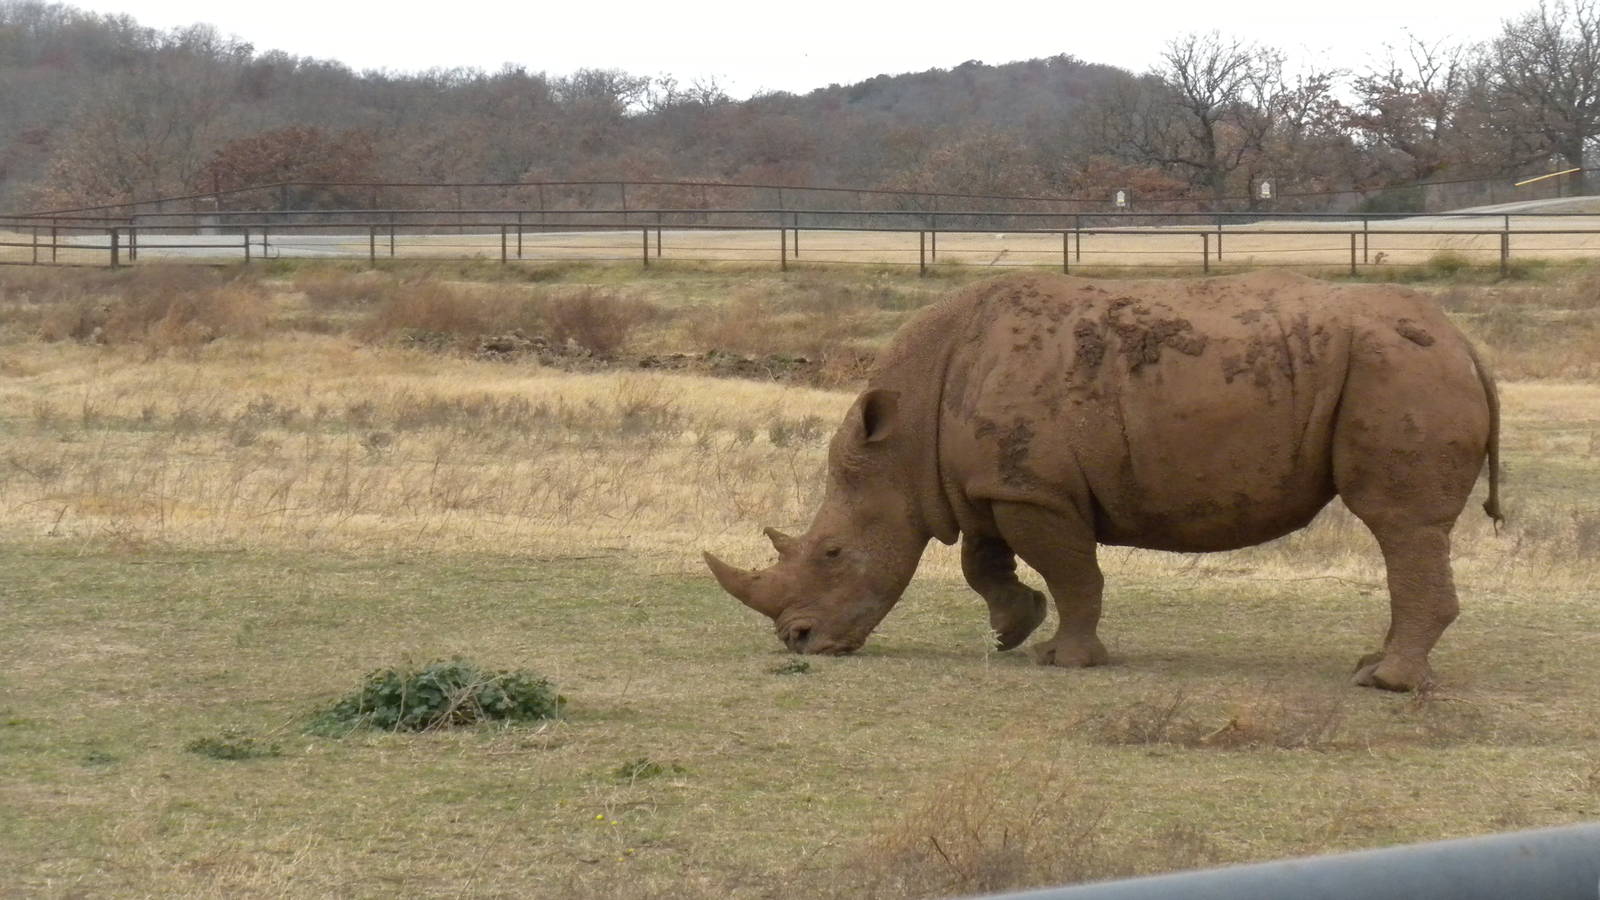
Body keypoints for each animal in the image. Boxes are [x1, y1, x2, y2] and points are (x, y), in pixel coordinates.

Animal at [704, 271, 1502, 692]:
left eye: (832, 554)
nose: (798, 641)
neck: (905, 434)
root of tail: (1466, 343)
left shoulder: (1035, 491)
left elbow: (1073, 574)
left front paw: (1065, 660)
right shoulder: (994, 482)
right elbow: (981, 561)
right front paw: (1013, 629)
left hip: (1398, 369)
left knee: (1399, 525)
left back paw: (1384, 683)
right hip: (1400, 367)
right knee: (1406, 536)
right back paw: (1375, 666)